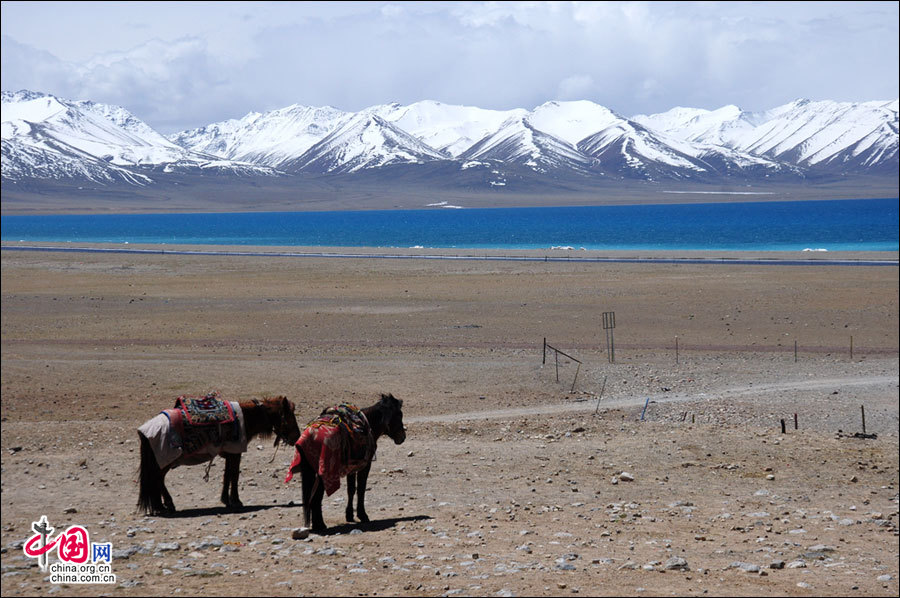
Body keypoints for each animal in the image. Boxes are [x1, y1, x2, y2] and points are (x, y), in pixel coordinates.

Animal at [135, 396, 300, 516]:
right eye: (290, 417)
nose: (297, 437)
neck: (246, 418)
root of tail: (145, 430)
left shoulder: (230, 454)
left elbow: (227, 475)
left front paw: (225, 500)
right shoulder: (236, 452)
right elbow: (234, 475)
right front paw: (236, 501)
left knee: (157, 480)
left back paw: (163, 506)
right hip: (165, 460)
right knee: (157, 479)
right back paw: (164, 506)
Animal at [290, 396, 406, 532]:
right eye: (399, 415)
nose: (402, 437)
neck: (368, 424)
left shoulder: (351, 467)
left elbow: (351, 490)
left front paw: (349, 515)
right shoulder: (365, 465)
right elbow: (361, 489)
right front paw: (363, 515)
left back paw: (318, 524)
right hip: (324, 473)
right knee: (316, 497)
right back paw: (320, 525)